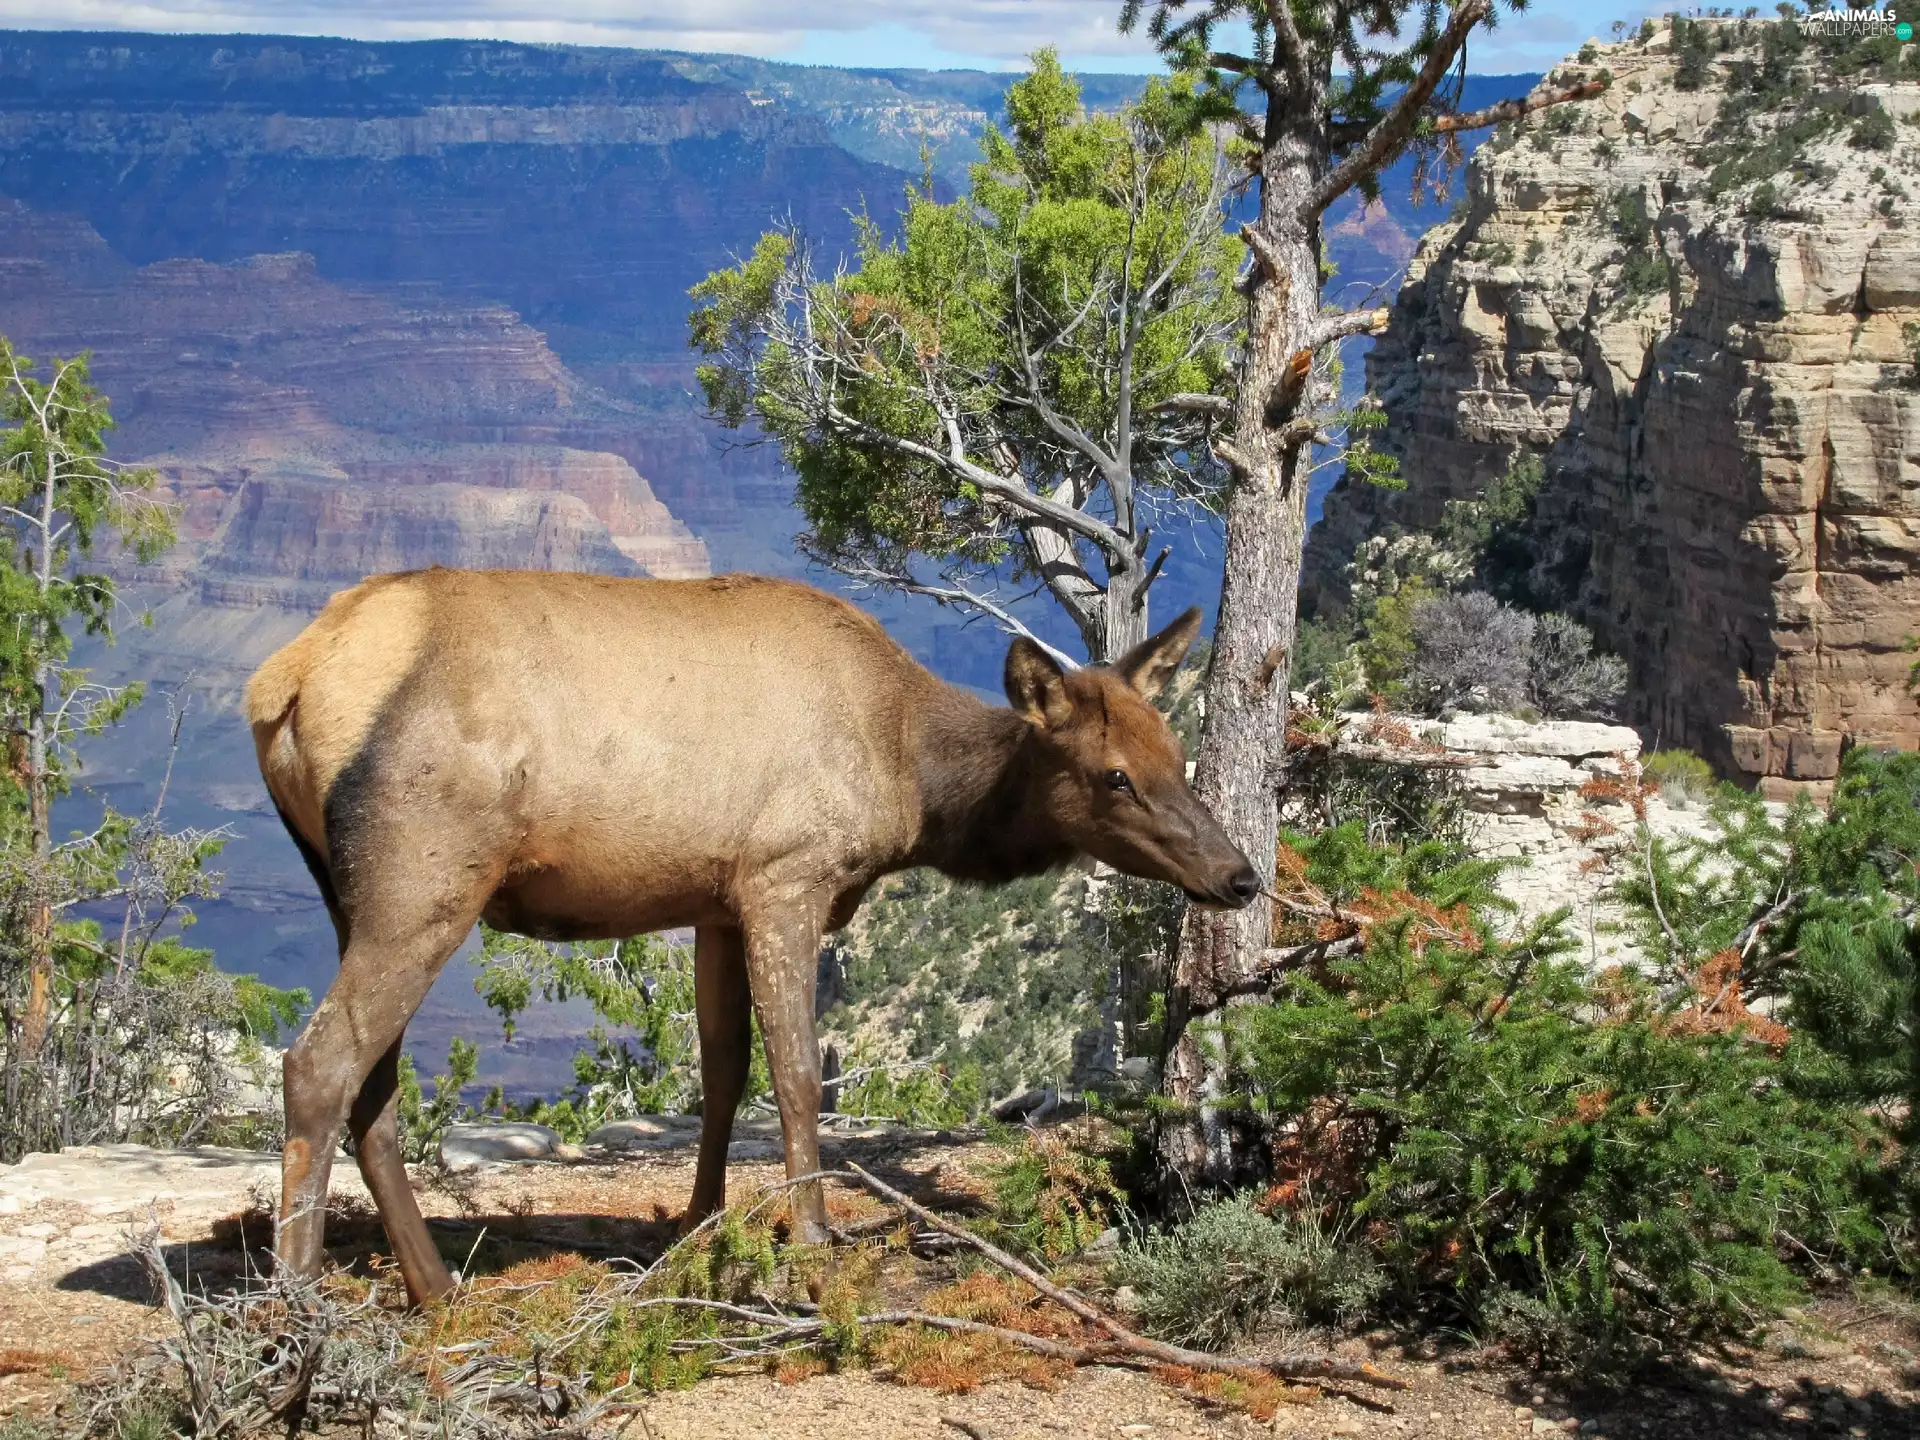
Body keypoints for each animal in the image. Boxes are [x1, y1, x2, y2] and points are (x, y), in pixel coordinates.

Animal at [246, 567, 1258, 1306]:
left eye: (1177, 751)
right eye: (1114, 775)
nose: (1239, 875)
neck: (912, 785)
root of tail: (282, 685)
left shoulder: (714, 901)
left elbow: (724, 1070)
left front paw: (698, 1224)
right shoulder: (785, 875)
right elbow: (800, 1072)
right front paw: (811, 1236)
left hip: (349, 889)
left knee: (372, 1083)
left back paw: (435, 1287)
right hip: (425, 874)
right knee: (319, 1062)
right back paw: (298, 1308)